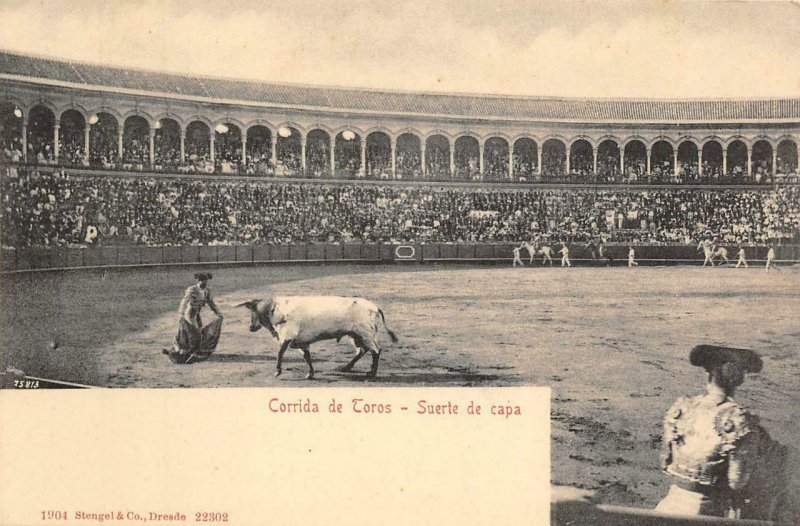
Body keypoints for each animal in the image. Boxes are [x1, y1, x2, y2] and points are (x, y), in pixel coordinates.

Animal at [238, 296, 400, 380]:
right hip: (356, 335)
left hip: (365, 334)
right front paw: (310, 374)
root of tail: (375, 306)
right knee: (362, 350)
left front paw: (277, 371)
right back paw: (347, 367)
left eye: (253, 312)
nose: (250, 327)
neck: (276, 310)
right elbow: (307, 357)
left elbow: (280, 353)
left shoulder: (287, 336)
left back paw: (371, 373)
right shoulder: (302, 342)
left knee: (376, 351)